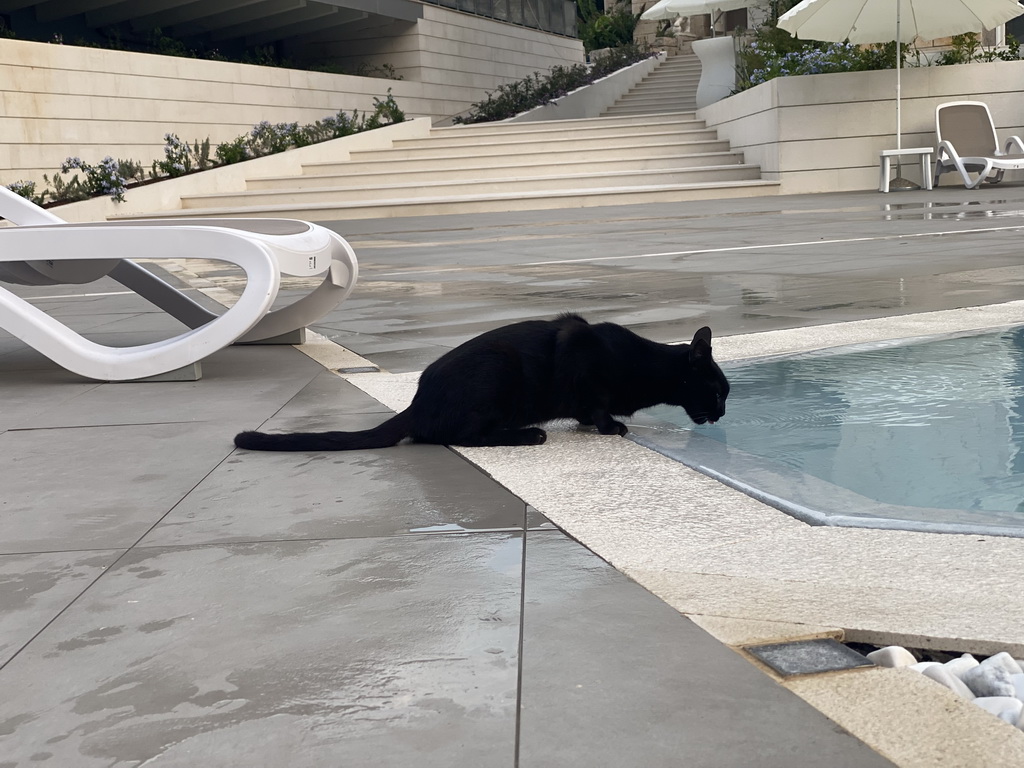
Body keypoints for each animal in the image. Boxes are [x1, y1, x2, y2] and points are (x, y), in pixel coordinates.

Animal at [234, 315, 729, 454]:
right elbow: (596, 407)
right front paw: (611, 427)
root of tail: (417, 401)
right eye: (720, 391)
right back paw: (529, 435)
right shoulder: (582, 362)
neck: (642, 363)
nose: (724, 413)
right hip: (496, 374)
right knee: (456, 436)